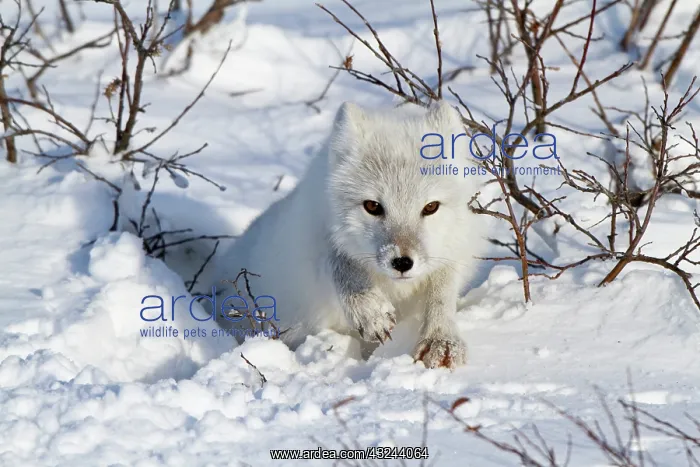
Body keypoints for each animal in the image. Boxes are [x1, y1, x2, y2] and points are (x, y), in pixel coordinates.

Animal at [215, 101, 487, 368]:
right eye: (372, 206)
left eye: (431, 207)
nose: (402, 263)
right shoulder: (316, 236)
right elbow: (340, 260)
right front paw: (370, 311)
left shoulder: (458, 248)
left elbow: (442, 292)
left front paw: (441, 340)